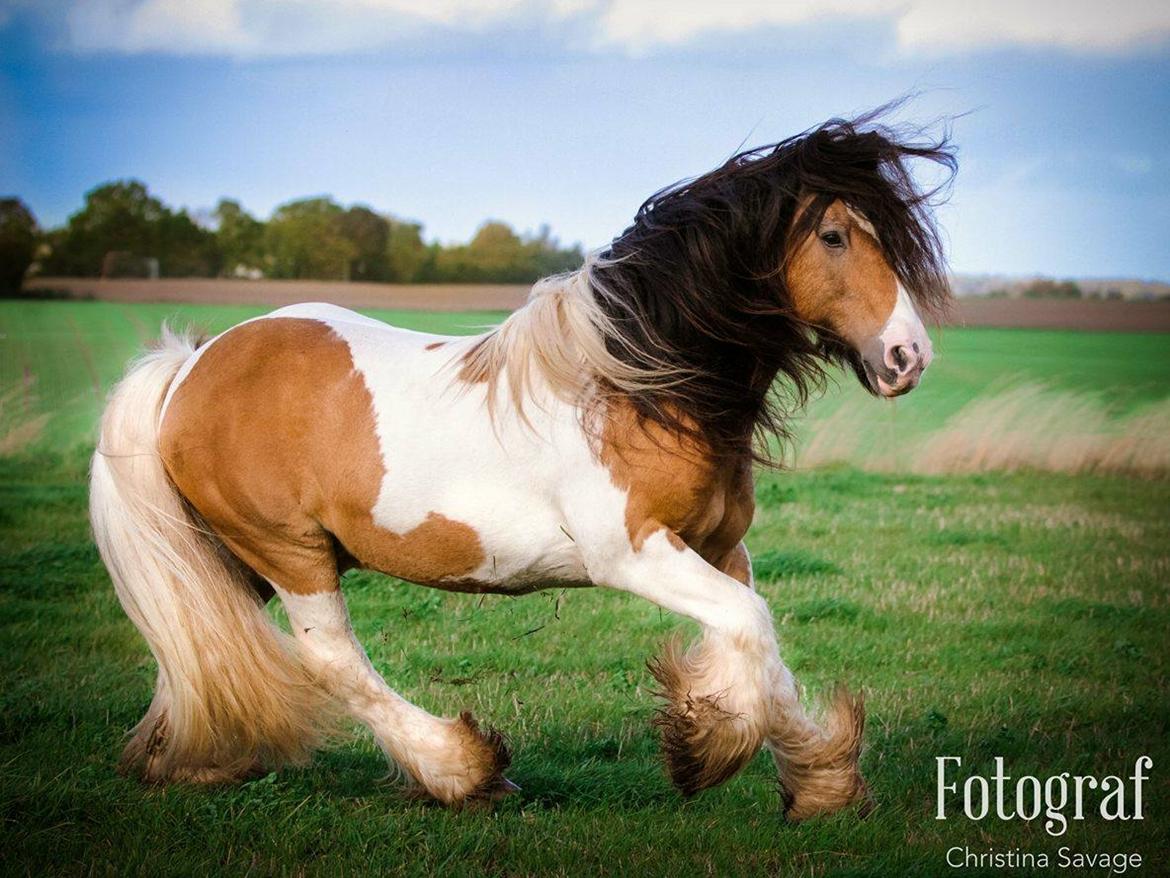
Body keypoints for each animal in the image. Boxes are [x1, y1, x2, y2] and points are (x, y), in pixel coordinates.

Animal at [88, 113, 950, 824]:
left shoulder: (717, 547)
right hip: (289, 551)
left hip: (241, 557)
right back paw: (462, 771)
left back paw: (186, 761)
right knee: (329, 661)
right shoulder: (633, 554)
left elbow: (764, 658)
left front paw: (815, 784)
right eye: (834, 235)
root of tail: (191, 364)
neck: (635, 380)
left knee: (201, 646)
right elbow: (749, 629)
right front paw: (707, 752)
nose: (907, 356)